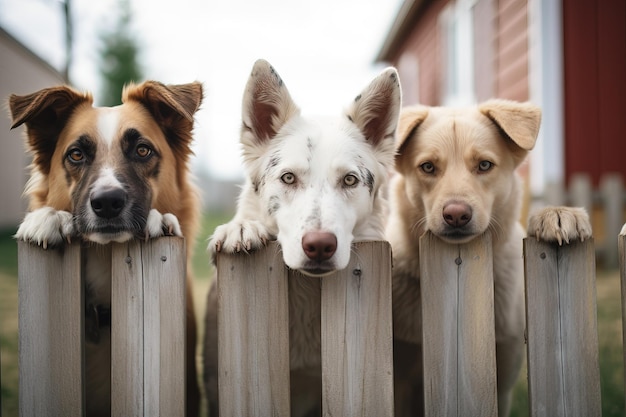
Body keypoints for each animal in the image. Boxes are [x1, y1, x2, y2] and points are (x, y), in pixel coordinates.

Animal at [386, 99, 588, 414]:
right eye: (428, 167)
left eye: (484, 165)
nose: (456, 215)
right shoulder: (402, 383)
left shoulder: (502, 380)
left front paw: (558, 215)